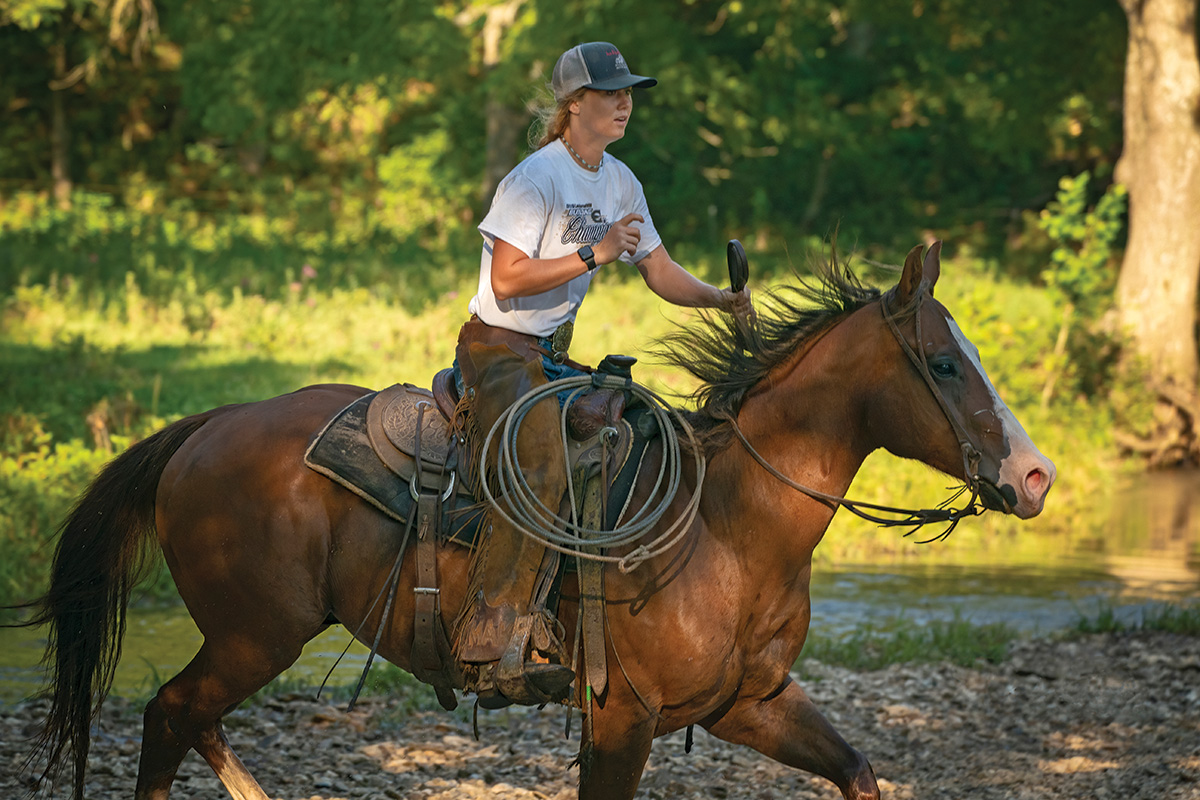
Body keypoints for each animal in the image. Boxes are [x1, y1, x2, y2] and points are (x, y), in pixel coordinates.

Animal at [14, 244, 1056, 800]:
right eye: (944, 363)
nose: (1035, 475)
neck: (723, 527)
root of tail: (207, 425)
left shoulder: (751, 703)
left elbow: (858, 770)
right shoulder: (622, 718)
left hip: (254, 636)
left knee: (192, 720)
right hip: (254, 632)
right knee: (170, 715)